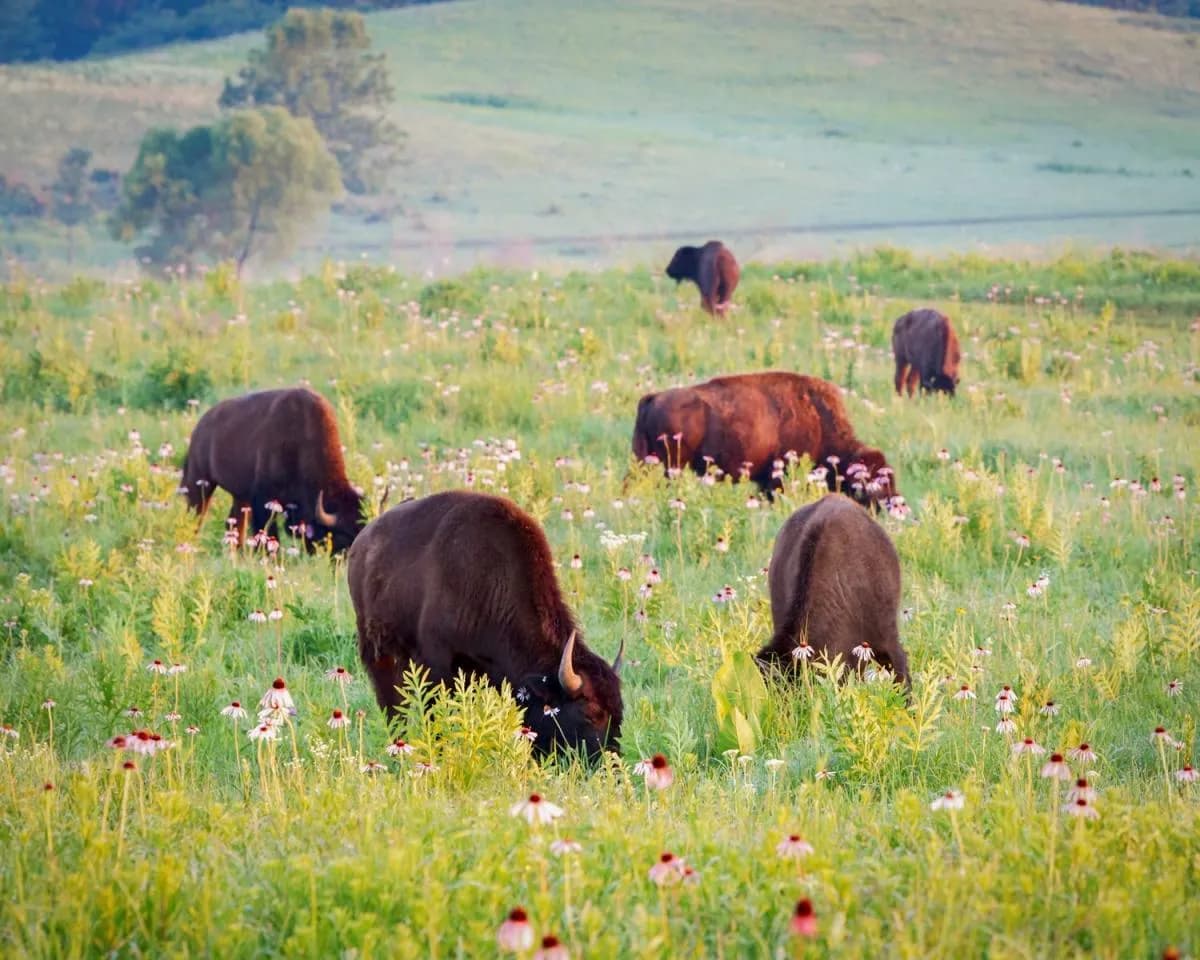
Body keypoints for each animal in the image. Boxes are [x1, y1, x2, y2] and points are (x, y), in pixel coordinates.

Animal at [181, 387, 365, 552]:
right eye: (342, 536)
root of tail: (200, 427)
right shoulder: (262, 500)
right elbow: (267, 533)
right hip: (200, 482)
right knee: (197, 514)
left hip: (239, 497)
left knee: (234, 522)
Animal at [347, 490, 624, 759]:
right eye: (589, 714)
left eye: (620, 712)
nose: (612, 761)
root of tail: (362, 541)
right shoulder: (436, 666)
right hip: (378, 653)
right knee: (392, 705)